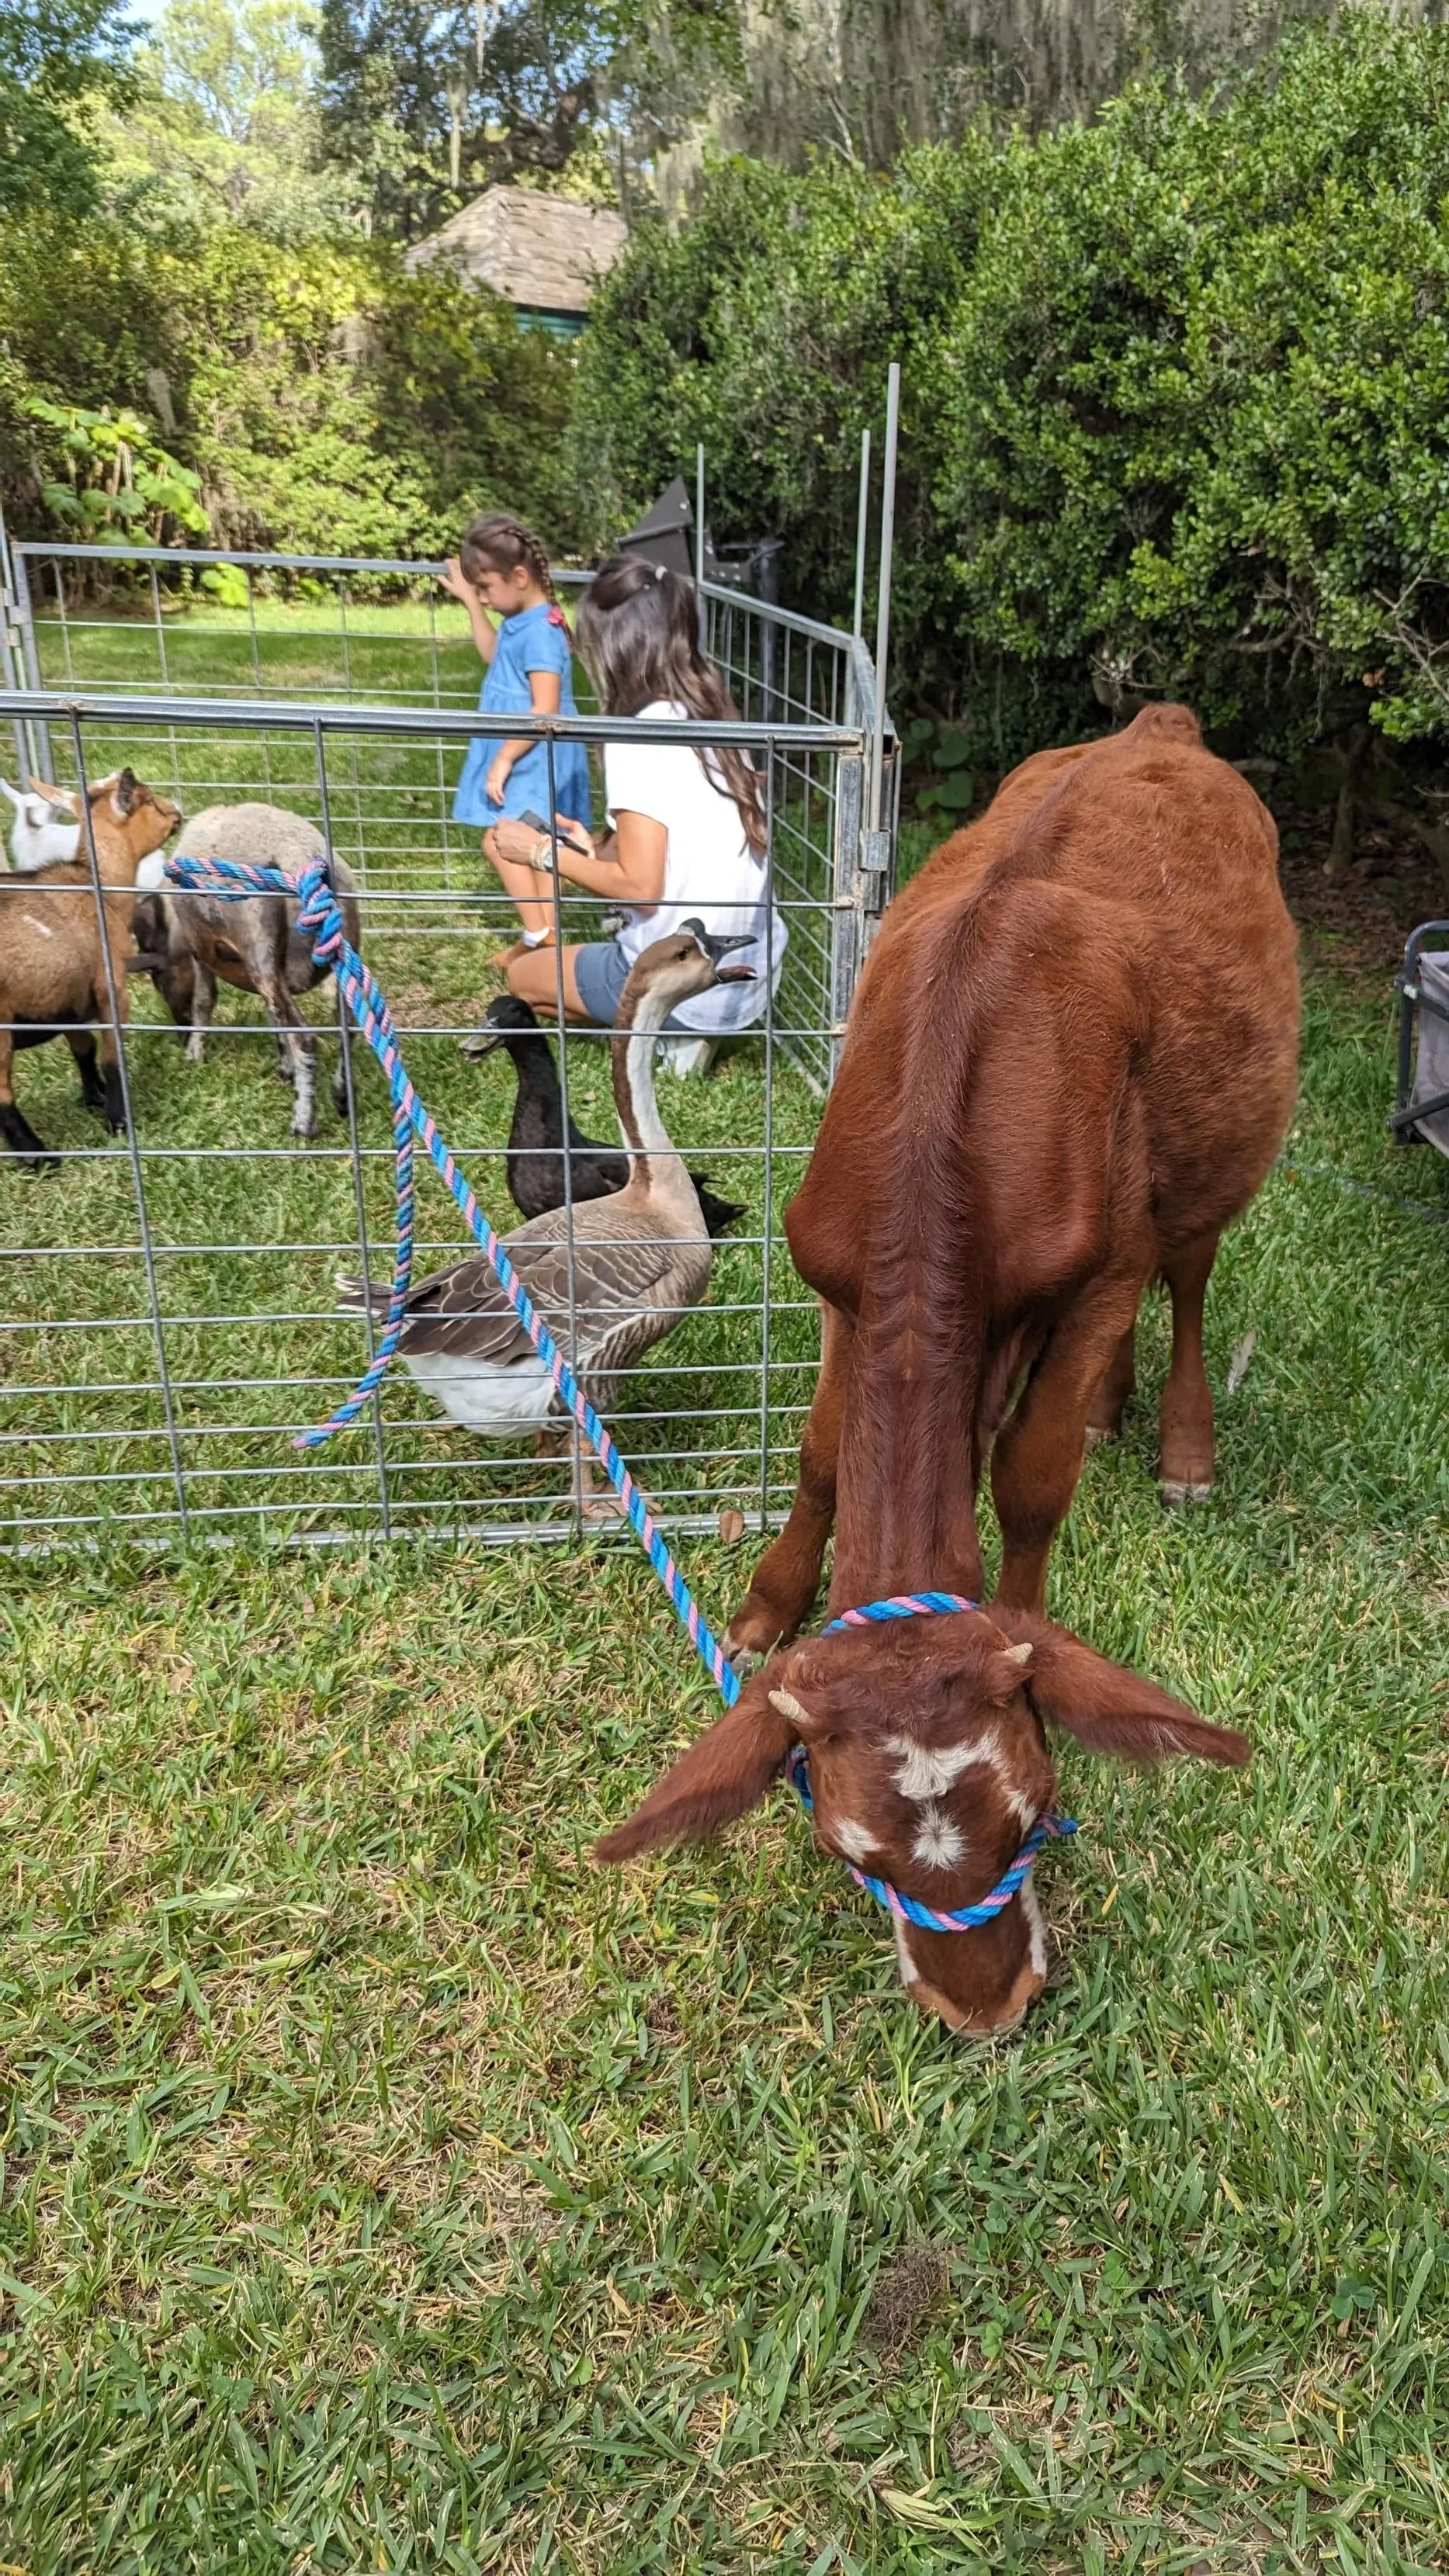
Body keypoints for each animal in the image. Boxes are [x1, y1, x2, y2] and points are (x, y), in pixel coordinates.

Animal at [597, 707, 1298, 2034]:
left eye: (1034, 1812)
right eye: (844, 1849)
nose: (986, 2008)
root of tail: (1159, 724)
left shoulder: (1099, 1271)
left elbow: (1028, 1477)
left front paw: (1030, 1605)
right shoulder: (838, 1279)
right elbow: (822, 1454)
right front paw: (766, 1605)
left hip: (1207, 1159)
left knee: (1188, 1274)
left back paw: (1178, 1440)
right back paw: (1116, 1407)